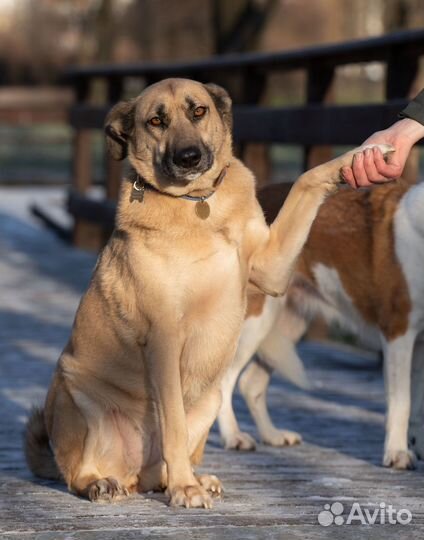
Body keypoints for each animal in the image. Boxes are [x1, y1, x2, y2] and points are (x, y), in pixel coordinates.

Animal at [24, 78, 392, 508]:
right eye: (155, 121)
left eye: (198, 111)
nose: (188, 157)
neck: (197, 203)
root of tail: (132, 474)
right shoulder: (165, 339)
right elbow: (173, 425)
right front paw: (185, 489)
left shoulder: (271, 267)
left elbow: (307, 179)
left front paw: (363, 155)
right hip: (76, 393)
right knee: (76, 471)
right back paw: (109, 483)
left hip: (210, 399)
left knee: (159, 468)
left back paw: (191, 478)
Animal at [219, 177, 424, 468]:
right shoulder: (398, 332)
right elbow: (401, 403)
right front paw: (396, 452)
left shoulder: (419, 344)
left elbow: (416, 404)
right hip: (253, 323)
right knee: (224, 382)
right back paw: (233, 436)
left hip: (288, 324)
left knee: (251, 384)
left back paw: (272, 435)